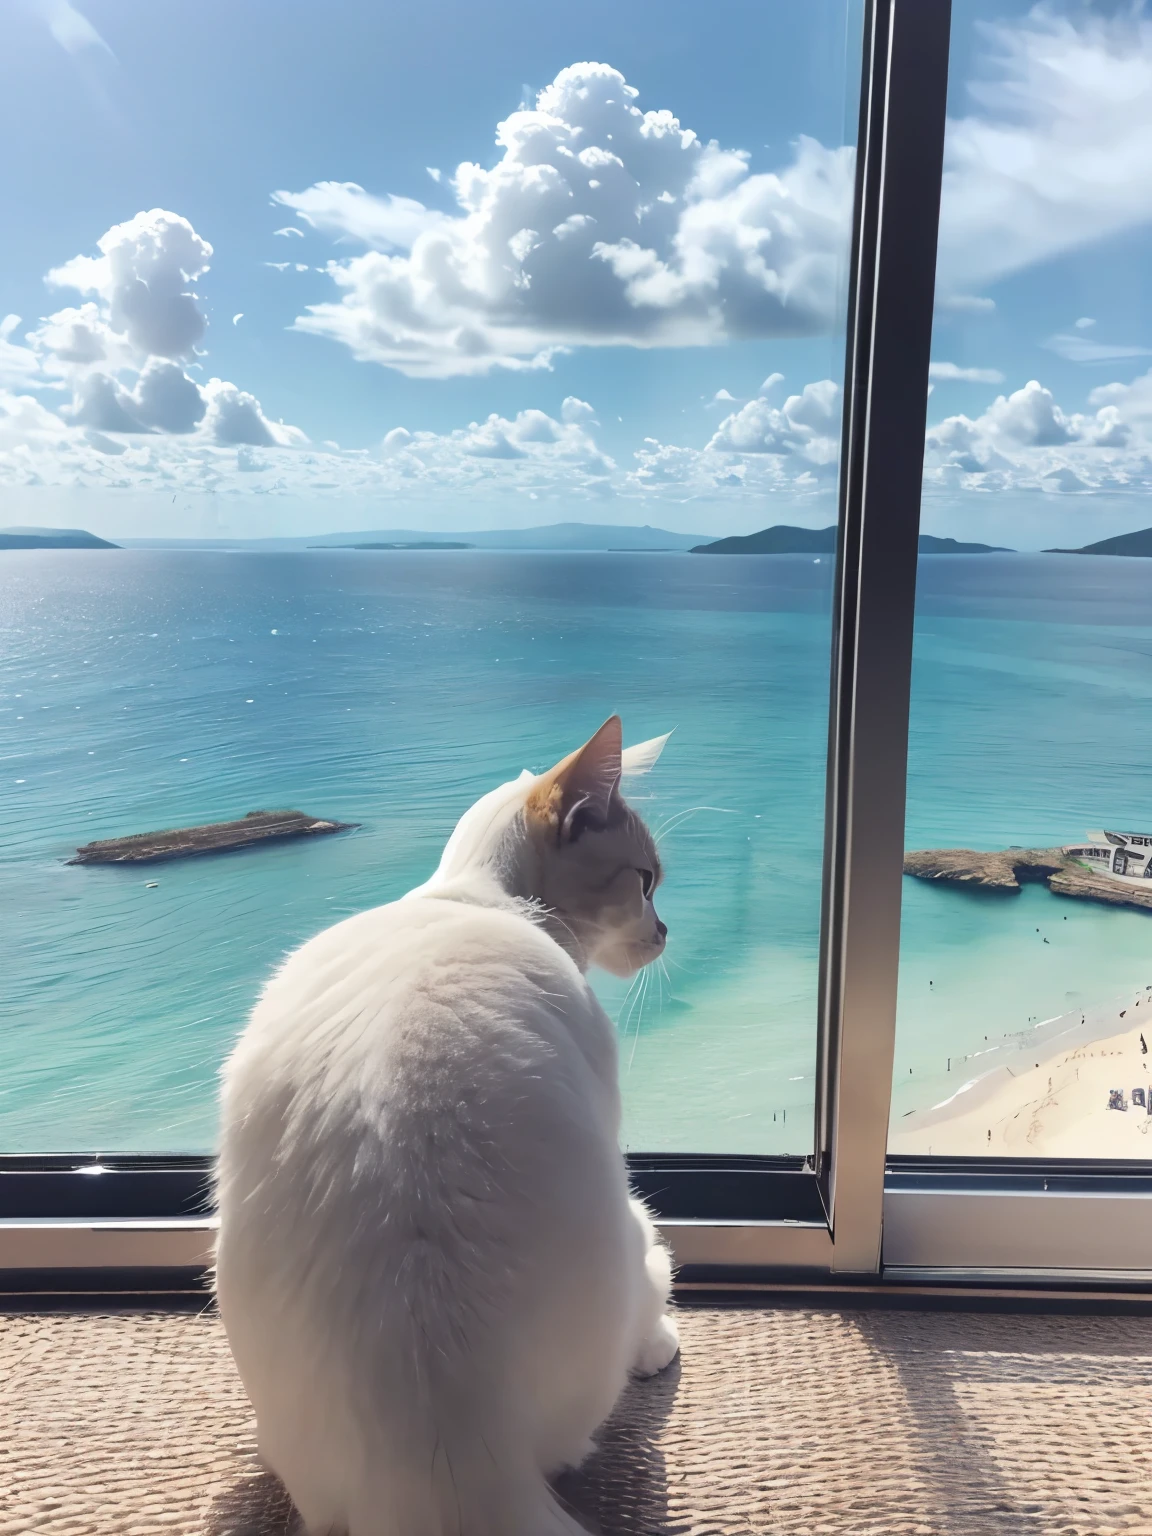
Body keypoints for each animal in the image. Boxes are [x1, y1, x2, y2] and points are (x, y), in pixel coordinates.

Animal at [218, 718, 675, 1536]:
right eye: (646, 879)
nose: (666, 930)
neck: (478, 897)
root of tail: (443, 1467)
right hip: (631, 1225)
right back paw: (654, 1343)